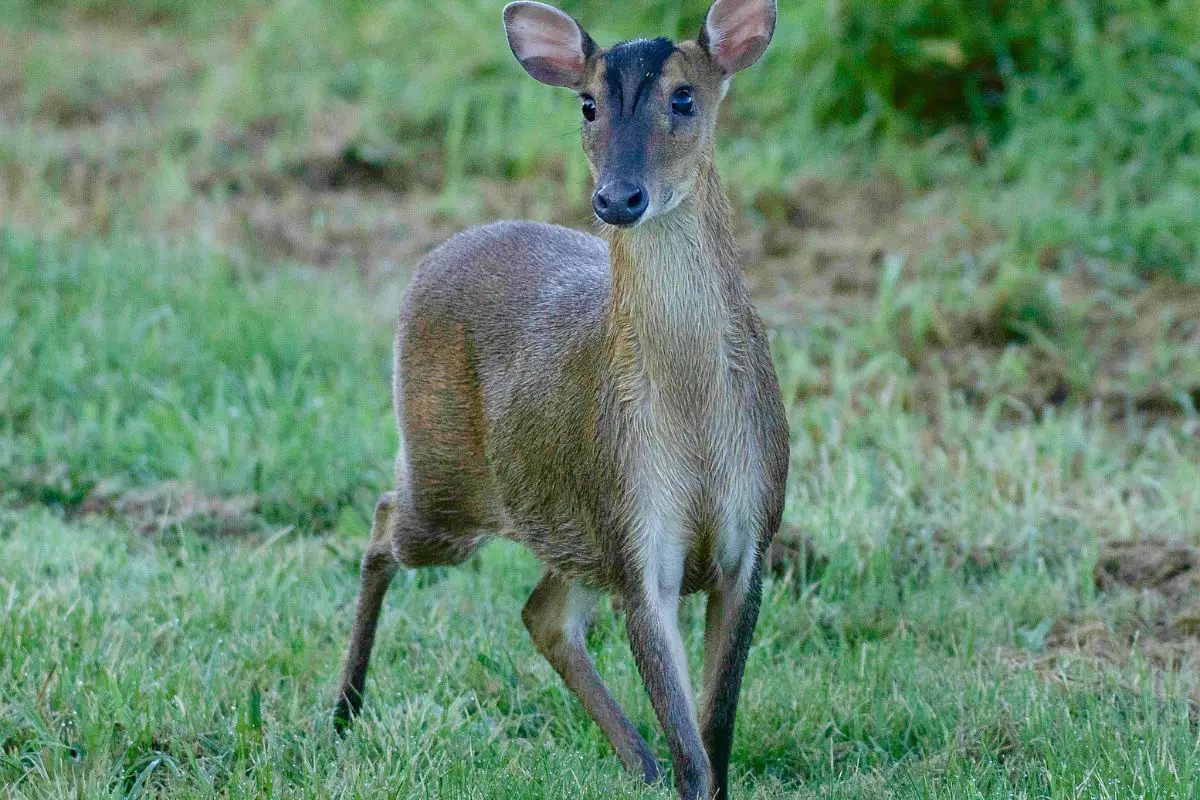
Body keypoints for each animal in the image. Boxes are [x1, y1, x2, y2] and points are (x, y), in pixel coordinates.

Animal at [336, 3, 787, 796]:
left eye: (685, 98)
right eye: (587, 103)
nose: (617, 197)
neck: (696, 424)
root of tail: (437, 254)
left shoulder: (749, 537)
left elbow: (716, 732)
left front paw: (674, 762)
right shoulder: (637, 539)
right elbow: (693, 747)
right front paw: (674, 765)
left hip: (571, 519)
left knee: (541, 611)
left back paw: (635, 759)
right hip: (449, 481)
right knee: (387, 518)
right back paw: (343, 708)